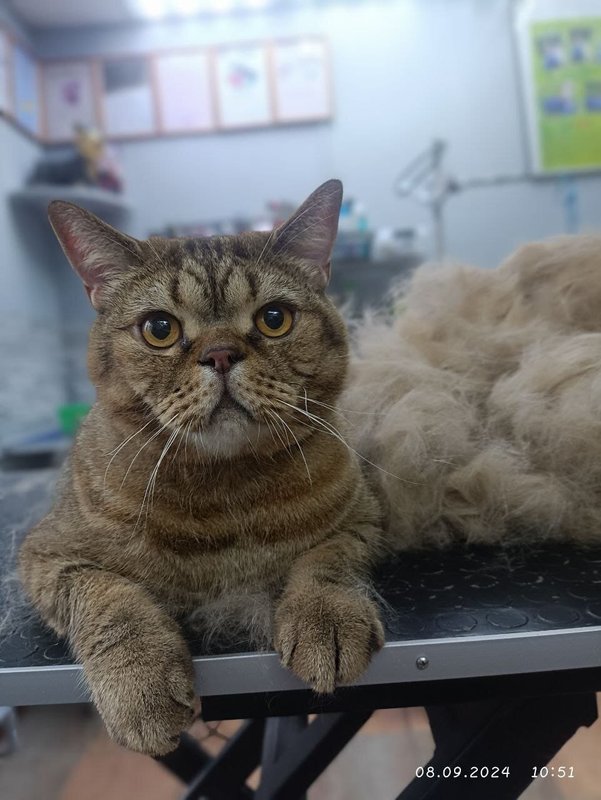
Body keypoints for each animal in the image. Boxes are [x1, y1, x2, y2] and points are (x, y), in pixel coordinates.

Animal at [18, 180, 386, 757]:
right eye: (159, 329)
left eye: (274, 319)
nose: (220, 354)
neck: (226, 489)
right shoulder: (47, 556)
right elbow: (109, 599)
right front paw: (140, 681)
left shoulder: (363, 515)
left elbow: (328, 558)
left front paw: (325, 613)